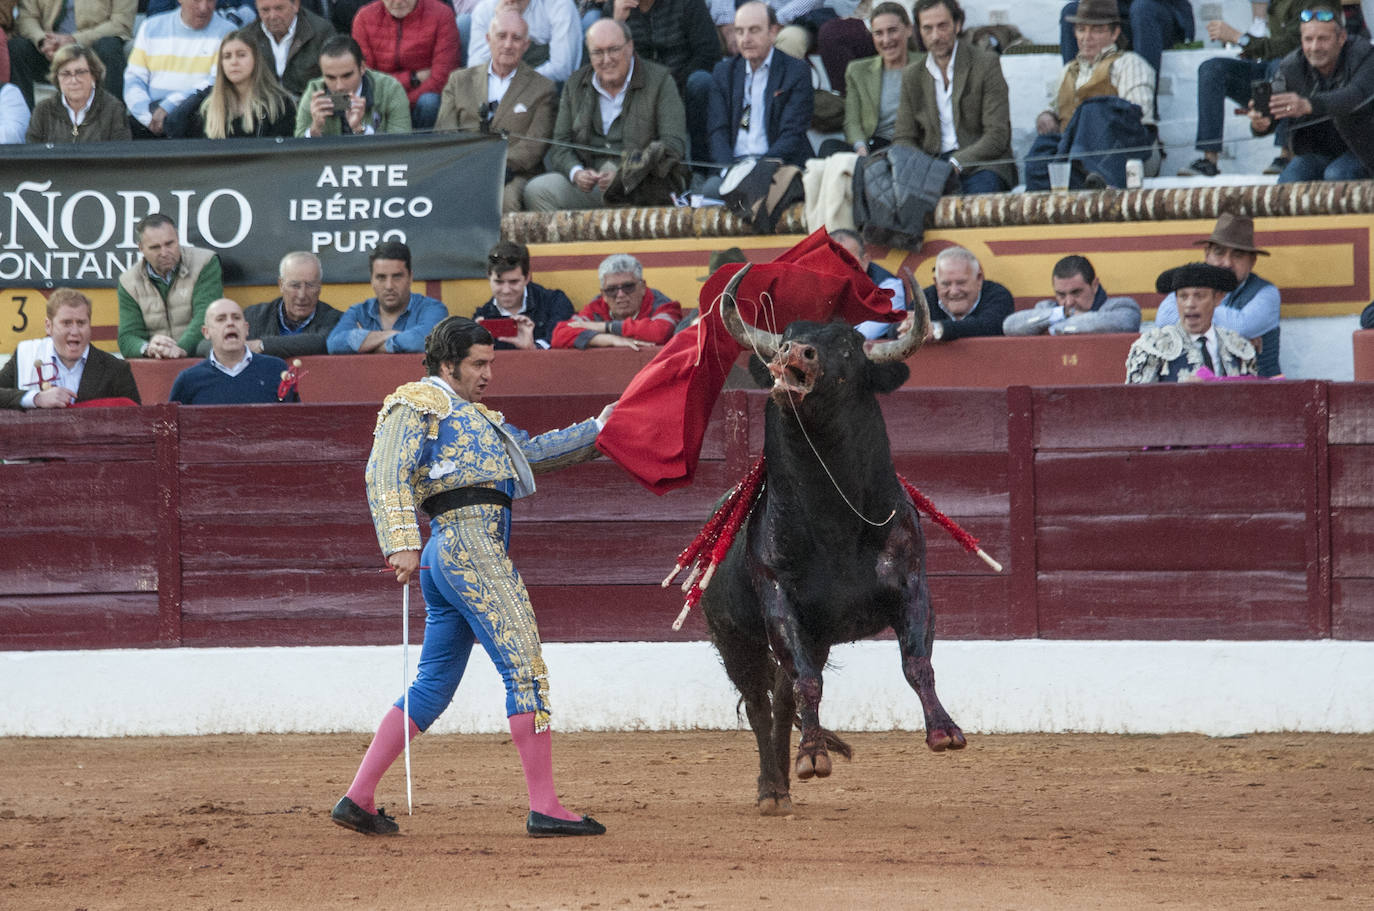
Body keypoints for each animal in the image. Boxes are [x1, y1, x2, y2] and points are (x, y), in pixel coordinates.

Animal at [697, 267, 967, 813]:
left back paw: (785, 781)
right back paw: (773, 788)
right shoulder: (780, 602)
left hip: (813, 639)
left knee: (783, 700)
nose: (794, 354)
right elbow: (806, 683)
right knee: (762, 703)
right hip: (735, 638)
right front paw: (813, 756)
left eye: (847, 346)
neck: (835, 521)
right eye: (785, 334)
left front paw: (944, 731)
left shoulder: (912, 585)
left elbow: (917, 662)